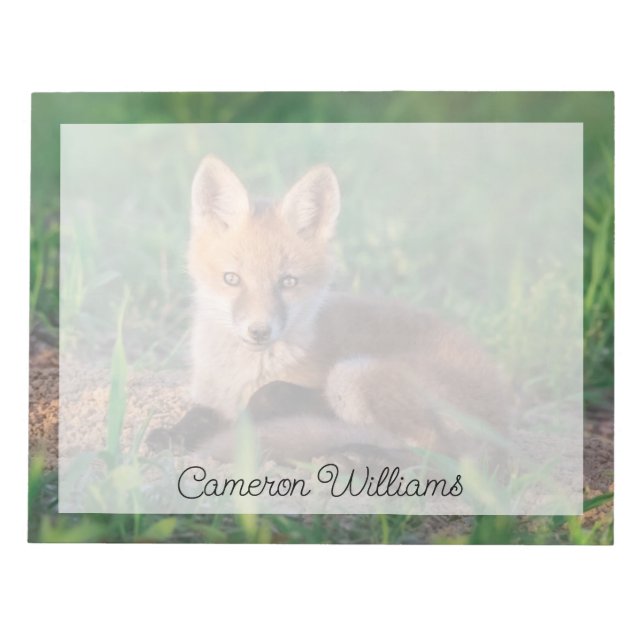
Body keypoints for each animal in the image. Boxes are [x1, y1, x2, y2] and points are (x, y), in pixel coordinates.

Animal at [148, 155, 512, 462]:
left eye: (288, 282)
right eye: (232, 279)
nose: (259, 330)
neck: (242, 374)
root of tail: (503, 426)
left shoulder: (313, 390)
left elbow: (269, 395)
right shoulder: (211, 398)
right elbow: (198, 415)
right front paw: (174, 434)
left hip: (353, 373)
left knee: (441, 455)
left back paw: (361, 455)